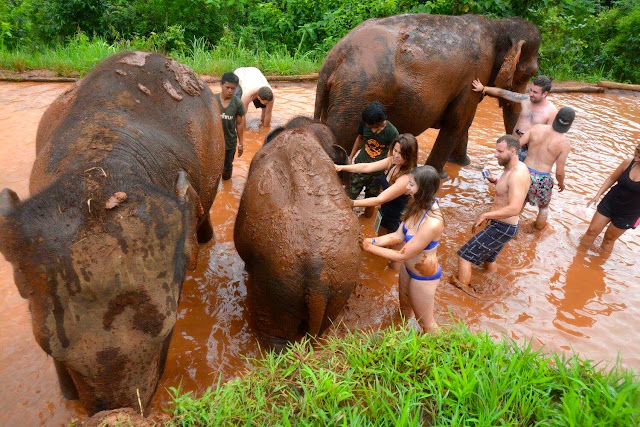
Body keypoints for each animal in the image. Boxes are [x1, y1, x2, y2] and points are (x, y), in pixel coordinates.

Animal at [235, 118, 362, 350]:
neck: (305, 132)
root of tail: (319, 280)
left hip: (276, 287)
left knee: (274, 337)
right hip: (340, 288)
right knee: (322, 328)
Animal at [316, 13, 540, 176]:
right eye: (531, 73)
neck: (498, 26)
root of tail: (334, 57)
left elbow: (463, 123)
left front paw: (462, 163)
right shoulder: (475, 73)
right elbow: (458, 122)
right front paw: (441, 175)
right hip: (355, 95)